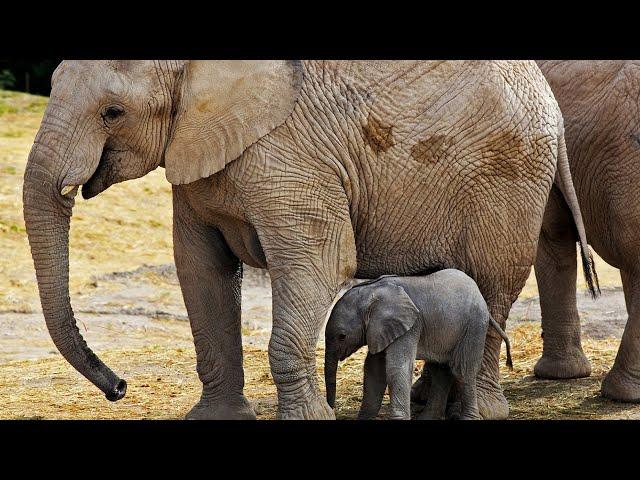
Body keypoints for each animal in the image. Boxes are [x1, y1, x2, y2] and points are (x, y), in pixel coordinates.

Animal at [322, 270, 512, 420]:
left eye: (342, 337)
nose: (332, 410)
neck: (372, 292)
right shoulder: (381, 330)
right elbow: (374, 370)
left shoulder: (410, 326)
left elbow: (396, 368)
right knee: (441, 370)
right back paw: (428, 418)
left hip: (474, 325)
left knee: (462, 370)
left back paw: (468, 418)